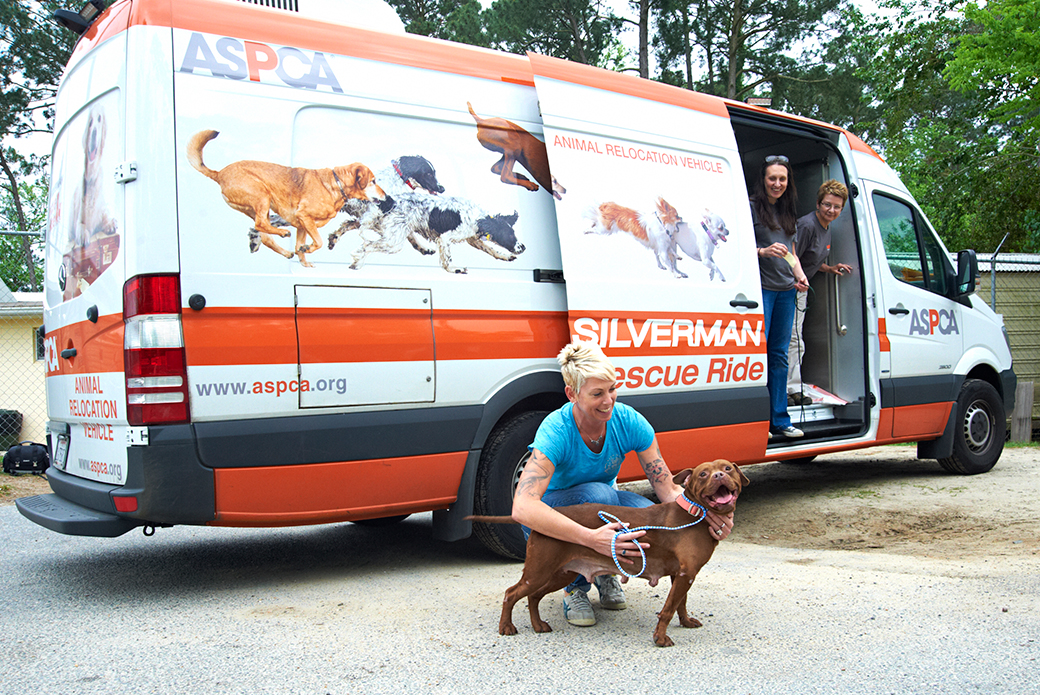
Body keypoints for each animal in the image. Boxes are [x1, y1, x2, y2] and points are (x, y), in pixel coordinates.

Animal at [187, 129, 386, 266]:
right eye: (373, 181)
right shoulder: (304, 217)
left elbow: (301, 246)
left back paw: (286, 252)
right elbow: (319, 241)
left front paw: (304, 261)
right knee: (261, 224)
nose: (386, 196)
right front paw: (308, 250)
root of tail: (219, 173)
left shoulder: (302, 225)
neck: (336, 184)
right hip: (262, 195)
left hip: (256, 207)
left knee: (263, 234)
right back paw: (283, 232)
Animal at [472, 457, 748, 649]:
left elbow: (681, 603)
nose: (719, 475)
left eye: (728, 468)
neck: (695, 513)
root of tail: (550, 516)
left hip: (559, 573)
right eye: (703, 474)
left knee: (533, 596)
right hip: (539, 571)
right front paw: (660, 638)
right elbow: (669, 608)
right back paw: (506, 626)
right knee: (511, 593)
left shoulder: (681, 575)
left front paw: (686, 622)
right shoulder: (686, 574)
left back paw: (538, 625)